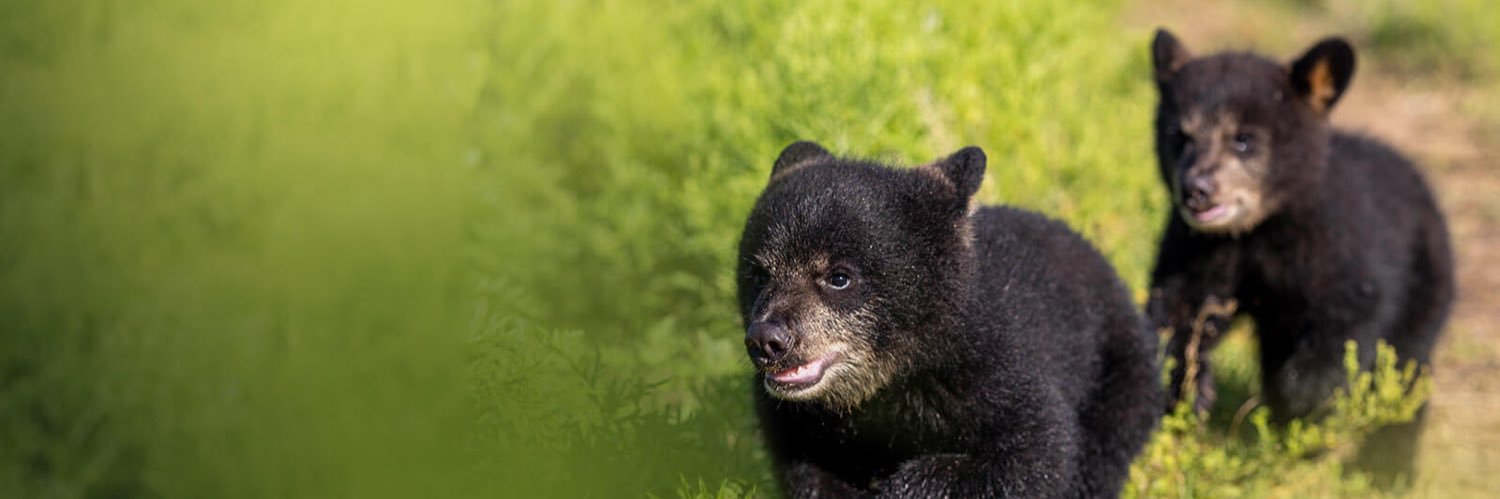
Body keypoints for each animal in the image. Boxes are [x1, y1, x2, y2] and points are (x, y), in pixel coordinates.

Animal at [735, 141, 1161, 498]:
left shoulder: (993, 369)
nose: (768, 340)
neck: (889, 382)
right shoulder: (795, 421)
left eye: (839, 277)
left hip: (1120, 376)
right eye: (759, 274)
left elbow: (1036, 451)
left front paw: (901, 486)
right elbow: (806, 467)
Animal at [1146, 29, 1455, 483]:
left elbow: (1346, 321)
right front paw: (1187, 391)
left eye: (1243, 139)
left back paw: (1385, 469)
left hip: (1427, 284)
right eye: (1180, 135)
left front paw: (1307, 407)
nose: (1196, 190)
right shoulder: (1199, 249)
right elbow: (1180, 310)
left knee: (1406, 368)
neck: (1261, 229)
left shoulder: (1343, 247)